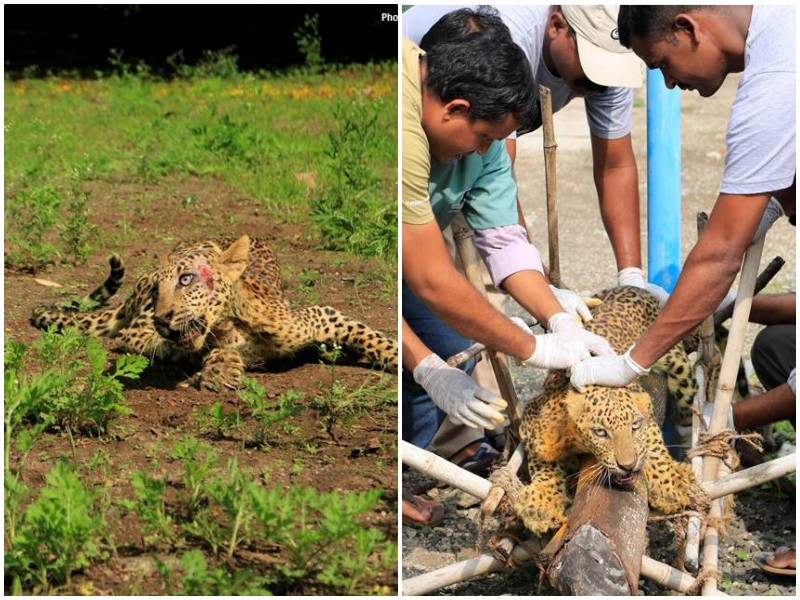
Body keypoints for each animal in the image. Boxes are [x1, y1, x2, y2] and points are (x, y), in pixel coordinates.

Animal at [32, 232, 398, 392]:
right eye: (158, 290)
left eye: (187, 279)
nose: (162, 317)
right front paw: (220, 370)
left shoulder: (322, 315)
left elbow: (374, 338)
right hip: (140, 324)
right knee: (130, 338)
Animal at [516, 286, 696, 536]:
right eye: (600, 433)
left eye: (635, 426)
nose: (627, 466)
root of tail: (631, 287)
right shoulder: (532, 422)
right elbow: (543, 466)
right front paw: (541, 505)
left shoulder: (645, 410)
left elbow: (654, 444)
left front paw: (670, 483)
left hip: (679, 365)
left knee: (688, 401)